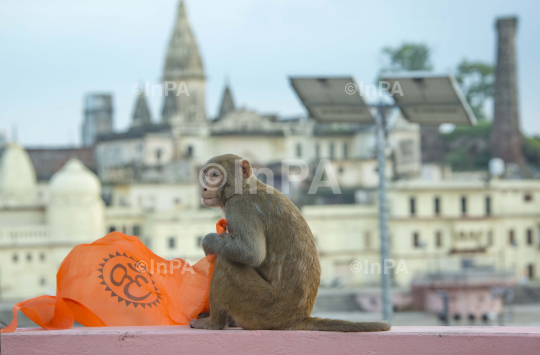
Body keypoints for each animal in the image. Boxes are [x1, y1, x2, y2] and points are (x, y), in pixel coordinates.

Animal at [190, 154, 388, 332]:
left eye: (215, 175)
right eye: (206, 175)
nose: (204, 188)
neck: (246, 188)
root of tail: (299, 317)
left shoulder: (241, 206)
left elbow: (250, 252)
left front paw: (207, 241)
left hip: (263, 307)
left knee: (226, 263)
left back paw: (213, 323)